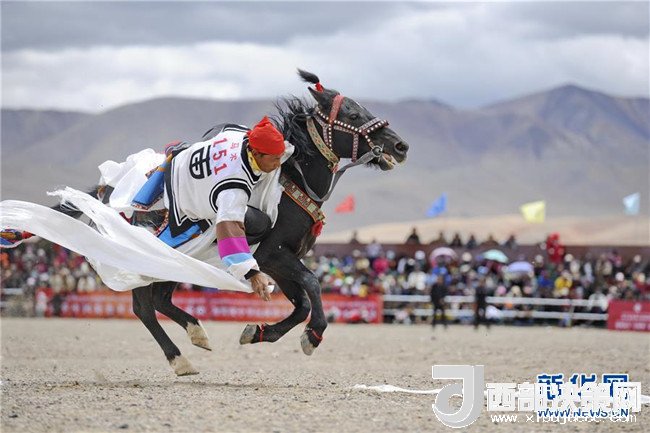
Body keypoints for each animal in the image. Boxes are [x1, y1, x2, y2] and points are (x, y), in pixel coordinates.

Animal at [51, 69, 410, 375]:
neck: (291, 180)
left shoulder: (280, 261)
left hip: (177, 260)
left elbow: (302, 304)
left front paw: (258, 331)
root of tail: (107, 190)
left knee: (159, 300)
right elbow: (312, 286)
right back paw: (179, 359)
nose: (400, 145)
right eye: (352, 115)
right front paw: (313, 335)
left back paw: (197, 332)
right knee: (143, 307)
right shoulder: (274, 254)